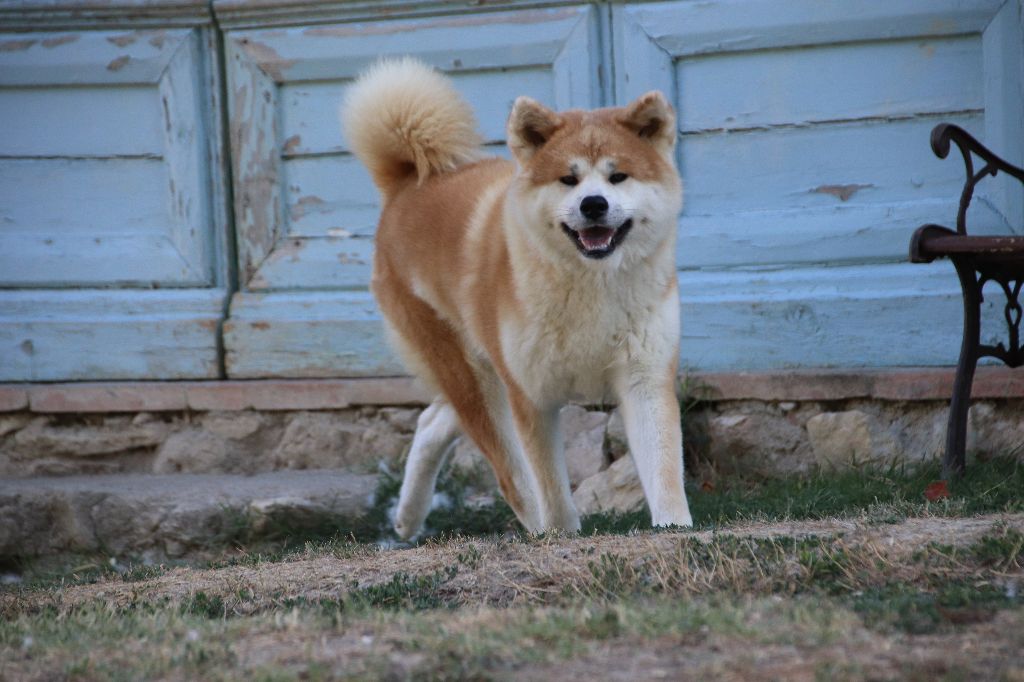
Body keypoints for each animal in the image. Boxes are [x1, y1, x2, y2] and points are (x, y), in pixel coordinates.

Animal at [346, 58, 696, 536]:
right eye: (568, 179)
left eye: (618, 176)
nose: (593, 204)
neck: (591, 285)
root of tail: (406, 185)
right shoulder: (530, 394)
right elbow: (549, 487)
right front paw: (561, 534)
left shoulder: (644, 376)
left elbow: (663, 470)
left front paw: (674, 528)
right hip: (475, 377)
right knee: (509, 475)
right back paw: (529, 527)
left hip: (482, 374)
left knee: (432, 420)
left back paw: (406, 516)